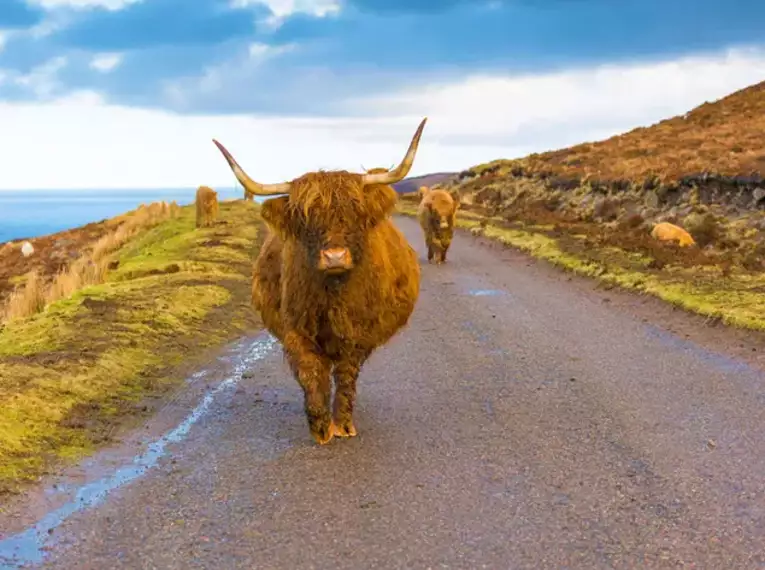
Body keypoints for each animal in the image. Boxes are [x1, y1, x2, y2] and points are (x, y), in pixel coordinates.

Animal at [212, 116, 426, 444]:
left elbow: (347, 374)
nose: (335, 256)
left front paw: (343, 424)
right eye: (305, 217)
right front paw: (321, 427)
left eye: (355, 211)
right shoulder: (295, 327)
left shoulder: (358, 331)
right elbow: (311, 372)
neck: (333, 295)